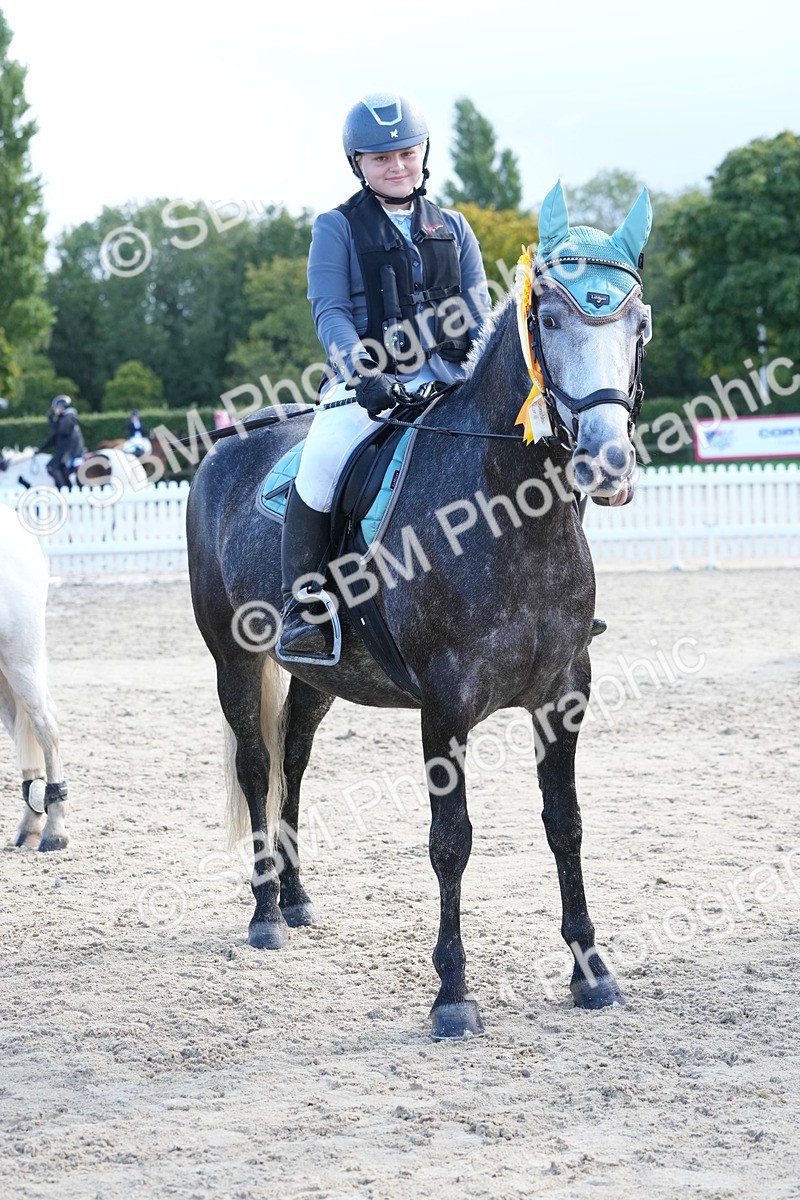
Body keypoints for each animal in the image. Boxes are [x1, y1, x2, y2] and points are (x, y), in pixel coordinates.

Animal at [185, 181, 653, 1038]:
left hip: (323, 675)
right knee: (257, 765)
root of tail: (226, 448)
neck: (511, 515)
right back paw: (265, 913)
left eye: (637, 324)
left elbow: (565, 825)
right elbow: (450, 842)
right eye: (551, 319)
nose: (607, 463)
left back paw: (297, 899)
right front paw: (453, 993)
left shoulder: (565, 697)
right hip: (233, 657)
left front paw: (590, 970)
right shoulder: (445, 705)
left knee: (294, 760)